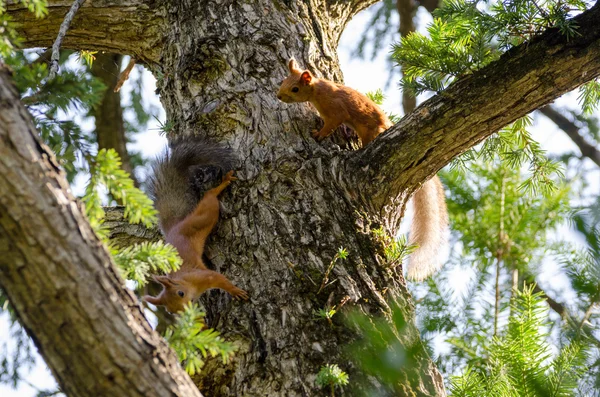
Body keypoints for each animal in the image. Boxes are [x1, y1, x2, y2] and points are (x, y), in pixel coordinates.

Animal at [144, 137, 247, 312]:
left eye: (180, 293)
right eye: (171, 311)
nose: (188, 309)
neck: (187, 282)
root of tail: (174, 227)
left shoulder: (204, 276)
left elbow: (220, 279)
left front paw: (235, 291)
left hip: (206, 213)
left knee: (210, 196)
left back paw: (223, 183)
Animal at [276, 59, 446, 282]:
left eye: (295, 88)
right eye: (283, 80)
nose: (279, 96)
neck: (318, 91)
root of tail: (387, 125)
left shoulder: (336, 109)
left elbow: (332, 123)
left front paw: (319, 134)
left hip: (370, 132)